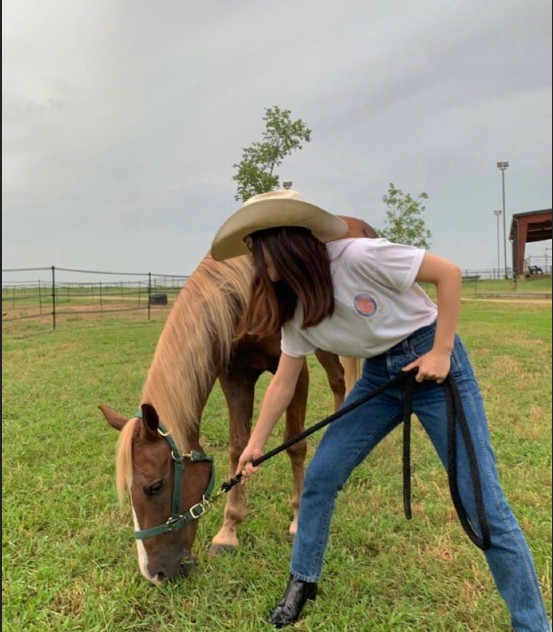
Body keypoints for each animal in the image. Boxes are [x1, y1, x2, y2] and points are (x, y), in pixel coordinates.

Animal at [99, 215, 378, 584]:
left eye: (154, 487)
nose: (154, 573)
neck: (247, 296)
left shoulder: (294, 370)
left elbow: (294, 444)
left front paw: (297, 520)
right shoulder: (235, 375)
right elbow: (238, 447)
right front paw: (228, 532)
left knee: (343, 379)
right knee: (338, 381)